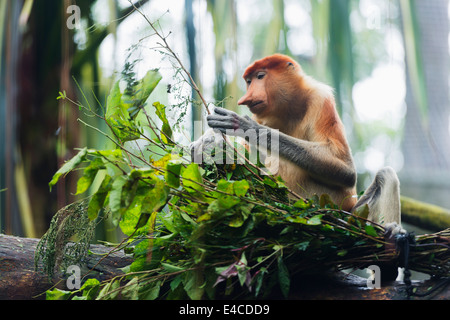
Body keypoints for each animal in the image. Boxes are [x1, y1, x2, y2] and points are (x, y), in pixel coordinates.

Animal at [192, 53, 402, 235]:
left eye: (260, 76)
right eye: (249, 81)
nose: (246, 98)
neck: (289, 110)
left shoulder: (321, 100)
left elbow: (347, 171)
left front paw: (244, 126)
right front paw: (209, 144)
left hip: (351, 217)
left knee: (385, 175)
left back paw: (394, 233)